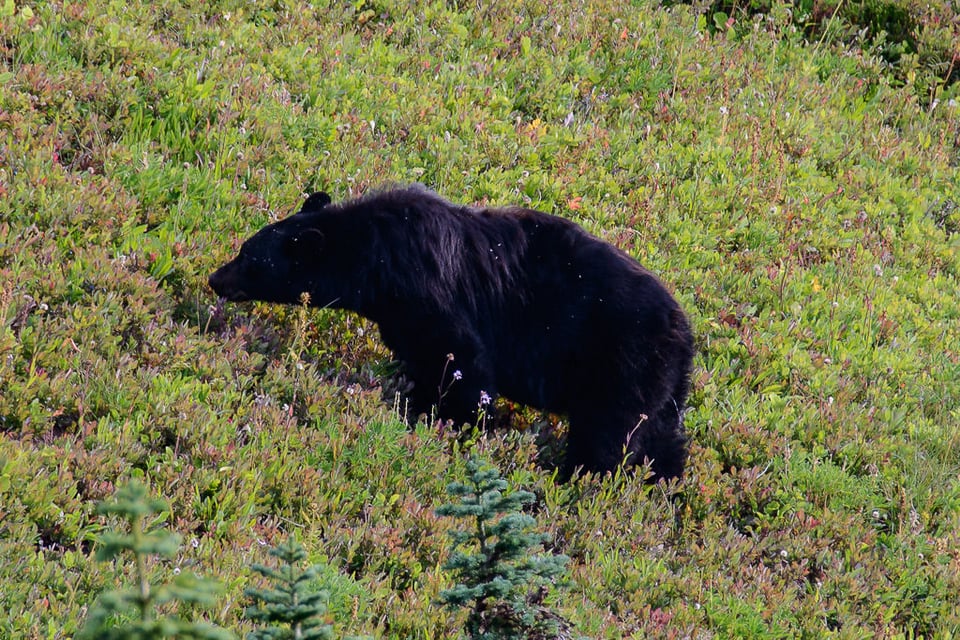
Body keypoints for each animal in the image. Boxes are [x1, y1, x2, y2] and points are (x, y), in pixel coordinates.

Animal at [208, 185, 688, 480]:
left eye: (248, 258)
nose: (215, 278)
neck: (375, 257)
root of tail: (684, 330)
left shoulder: (430, 292)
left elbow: (459, 361)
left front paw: (453, 423)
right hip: (660, 385)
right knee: (661, 438)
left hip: (620, 362)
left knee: (609, 434)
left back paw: (579, 478)